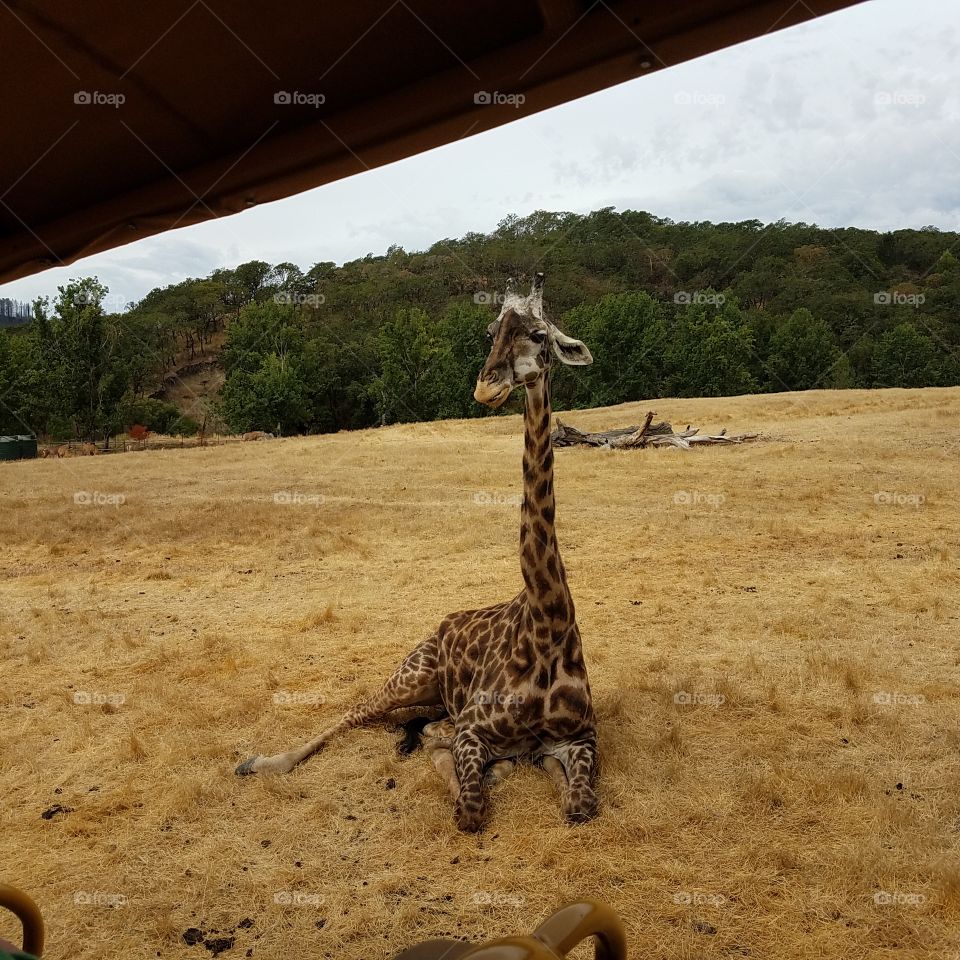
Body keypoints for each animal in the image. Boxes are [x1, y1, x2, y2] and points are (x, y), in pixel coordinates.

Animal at [236, 273, 598, 831]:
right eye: (491, 330)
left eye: (539, 335)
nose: (486, 386)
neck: (548, 621)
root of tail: (442, 623)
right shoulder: (473, 729)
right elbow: (469, 809)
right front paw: (474, 769)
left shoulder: (581, 737)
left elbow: (578, 805)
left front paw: (536, 771)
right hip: (413, 673)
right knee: (359, 710)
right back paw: (260, 762)